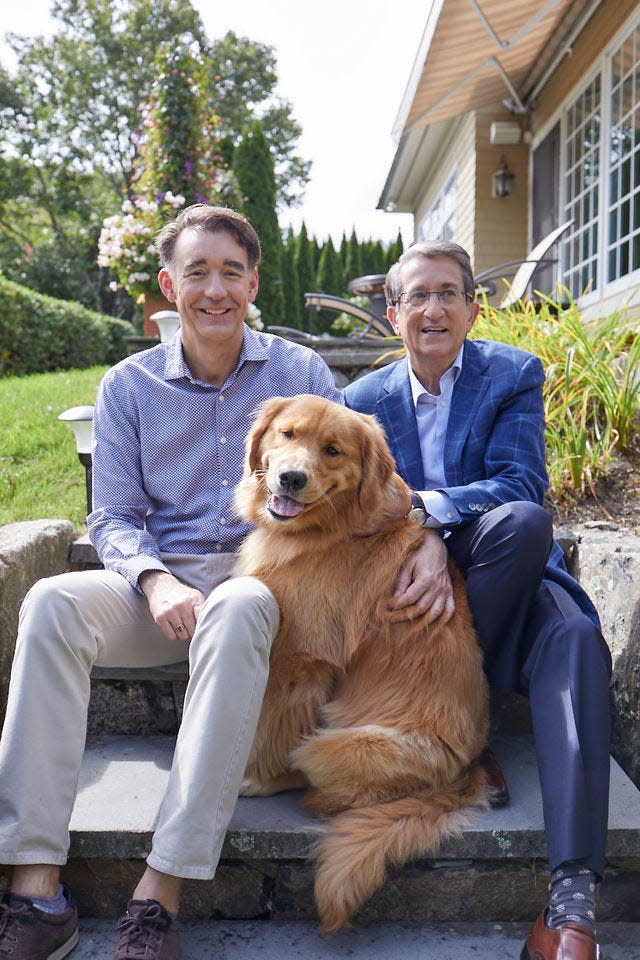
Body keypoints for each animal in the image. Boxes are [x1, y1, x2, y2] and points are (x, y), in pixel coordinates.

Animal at [232, 394, 488, 932]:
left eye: (332, 450)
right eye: (287, 434)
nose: (291, 478)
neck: (335, 527)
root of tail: (466, 772)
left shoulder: (302, 659)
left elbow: (273, 728)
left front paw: (257, 773)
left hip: (333, 744)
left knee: (314, 781)